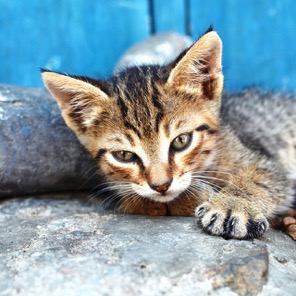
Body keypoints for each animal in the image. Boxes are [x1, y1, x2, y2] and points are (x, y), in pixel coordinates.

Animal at [42, 28, 296, 239]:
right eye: (124, 155)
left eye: (182, 141)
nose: (161, 186)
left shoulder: (263, 159)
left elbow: (263, 177)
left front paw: (232, 206)